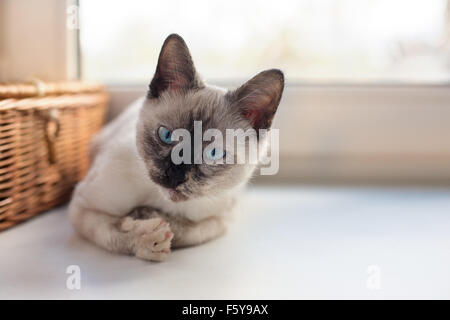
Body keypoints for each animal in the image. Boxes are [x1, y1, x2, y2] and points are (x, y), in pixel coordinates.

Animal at [68, 33, 284, 262]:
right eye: (167, 135)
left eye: (213, 154)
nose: (175, 176)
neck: (161, 200)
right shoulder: (81, 206)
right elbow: (112, 230)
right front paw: (146, 237)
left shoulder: (221, 217)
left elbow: (188, 230)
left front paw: (152, 218)